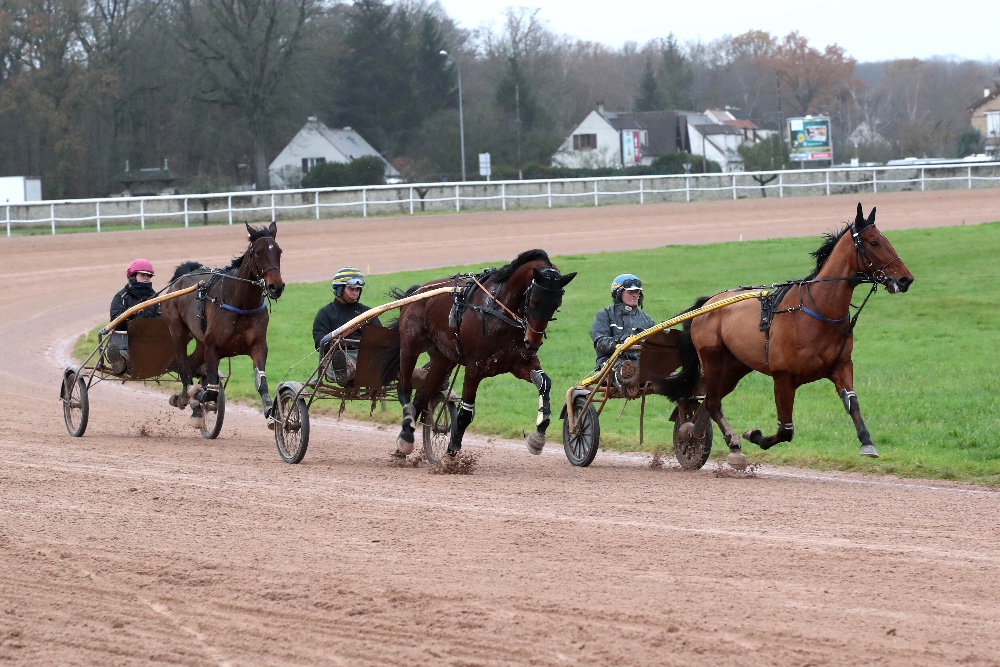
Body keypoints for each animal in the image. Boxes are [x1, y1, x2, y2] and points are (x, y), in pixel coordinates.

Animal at [160, 219, 286, 428]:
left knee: (191, 365)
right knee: (184, 369)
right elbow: (210, 391)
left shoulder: (258, 345)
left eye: (279, 251)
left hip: (200, 343)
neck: (241, 302)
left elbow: (261, 382)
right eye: (258, 252)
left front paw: (272, 411)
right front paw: (200, 397)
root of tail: (180, 279)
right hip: (177, 331)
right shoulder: (213, 347)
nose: (276, 286)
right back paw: (186, 397)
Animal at [392, 249, 580, 460]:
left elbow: (544, 383)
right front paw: (451, 451)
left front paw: (539, 434)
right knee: (404, 389)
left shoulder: (519, 363)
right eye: (534, 300)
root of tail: (417, 292)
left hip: (443, 359)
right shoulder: (475, 368)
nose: (532, 341)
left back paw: (403, 445)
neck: (498, 312)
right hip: (410, 345)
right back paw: (405, 439)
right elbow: (466, 412)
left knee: (421, 399)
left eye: (556, 304)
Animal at [664, 204, 916, 470]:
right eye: (874, 242)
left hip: (735, 366)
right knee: (712, 402)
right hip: (712, 360)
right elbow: (786, 430)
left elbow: (853, 404)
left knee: (709, 401)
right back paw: (716, 439)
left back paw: (695, 435)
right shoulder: (783, 378)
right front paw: (755, 435)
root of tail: (708, 303)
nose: (905, 279)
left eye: (886, 240)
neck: (818, 312)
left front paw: (867, 442)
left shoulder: (841, 366)